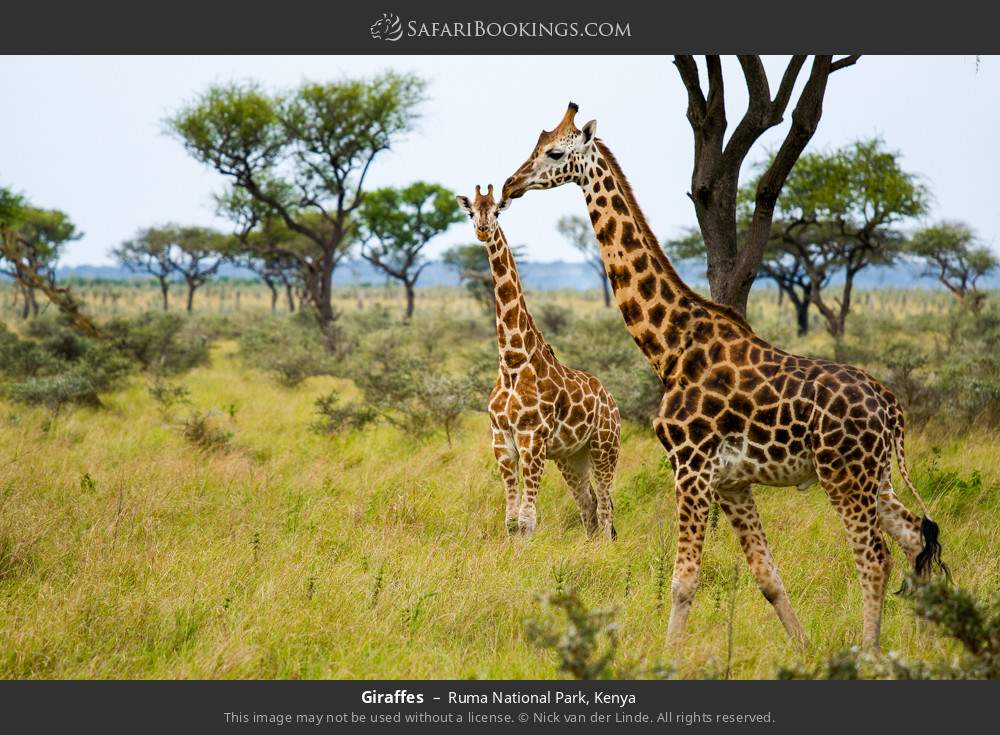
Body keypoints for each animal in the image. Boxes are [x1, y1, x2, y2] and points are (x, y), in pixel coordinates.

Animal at [456, 184, 621, 539]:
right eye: (471, 211)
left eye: (497, 210)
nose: (482, 230)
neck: (512, 360)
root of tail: (612, 400)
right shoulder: (502, 441)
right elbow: (510, 520)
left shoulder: (532, 439)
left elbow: (527, 519)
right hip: (572, 456)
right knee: (589, 505)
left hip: (605, 447)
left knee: (605, 508)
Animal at [501, 103, 946, 651]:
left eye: (555, 153)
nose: (511, 184)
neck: (669, 345)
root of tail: (891, 407)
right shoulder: (732, 481)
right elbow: (767, 575)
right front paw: (802, 647)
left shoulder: (691, 467)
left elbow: (683, 580)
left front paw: (668, 655)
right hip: (875, 476)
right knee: (916, 538)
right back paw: (927, 645)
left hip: (844, 474)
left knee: (875, 557)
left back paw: (870, 651)